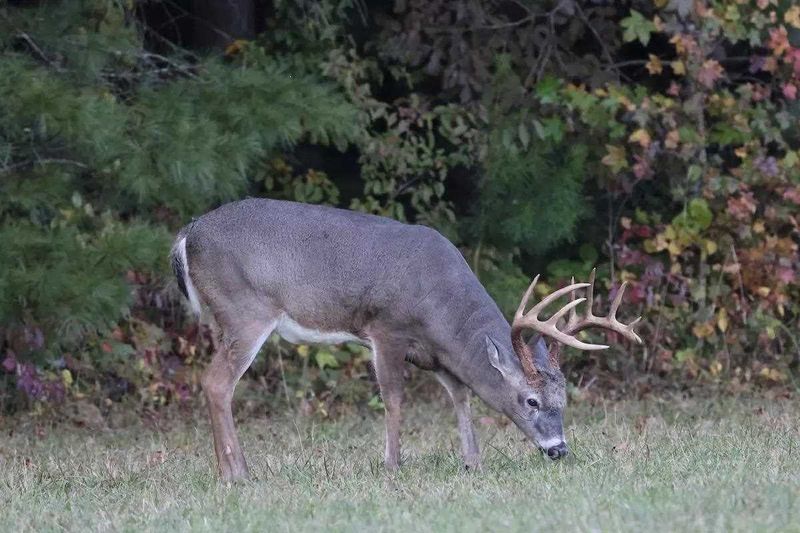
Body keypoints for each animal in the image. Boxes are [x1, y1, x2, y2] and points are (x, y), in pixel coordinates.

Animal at [170, 198, 642, 481]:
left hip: (222, 319)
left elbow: (461, 396)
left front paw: (472, 461)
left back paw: (231, 469)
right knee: (216, 383)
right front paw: (393, 465)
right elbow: (395, 399)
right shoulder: (386, 330)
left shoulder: (437, 355)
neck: (437, 305)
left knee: (216, 383)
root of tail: (186, 234)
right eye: (531, 401)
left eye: (565, 399)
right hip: (246, 311)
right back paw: (237, 474)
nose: (558, 450)